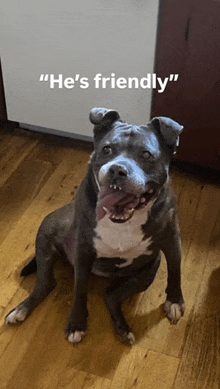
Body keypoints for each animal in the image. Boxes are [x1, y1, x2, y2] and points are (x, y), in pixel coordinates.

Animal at [5, 107, 184, 344]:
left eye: (146, 155)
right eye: (107, 149)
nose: (117, 170)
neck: (124, 221)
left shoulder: (172, 240)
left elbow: (175, 270)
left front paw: (174, 301)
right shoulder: (84, 251)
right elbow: (79, 290)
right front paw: (77, 324)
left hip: (146, 273)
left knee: (111, 296)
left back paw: (123, 329)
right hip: (45, 235)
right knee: (46, 284)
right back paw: (21, 310)